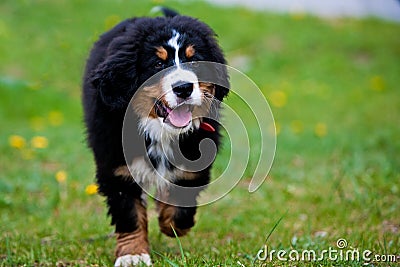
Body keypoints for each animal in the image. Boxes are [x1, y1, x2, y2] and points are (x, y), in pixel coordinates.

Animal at [82, 7, 228, 266]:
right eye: (158, 63)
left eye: (194, 60)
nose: (183, 88)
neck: (158, 129)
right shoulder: (117, 169)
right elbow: (128, 212)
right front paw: (132, 254)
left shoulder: (194, 160)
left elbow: (180, 202)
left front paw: (170, 224)